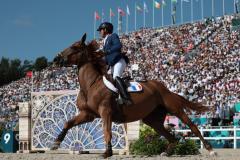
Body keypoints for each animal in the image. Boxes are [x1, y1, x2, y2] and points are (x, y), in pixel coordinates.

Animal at [51, 33, 217, 158]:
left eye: (75, 47)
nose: (56, 59)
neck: (90, 85)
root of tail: (165, 88)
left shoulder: (105, 112)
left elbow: (107, 131)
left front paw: (107, 152)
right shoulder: (87, 114)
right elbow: (68, 123)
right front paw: (56, 143)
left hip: (175, 109)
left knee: (193, 127)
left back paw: (210, 150)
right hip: (152, 120)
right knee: (171, 137)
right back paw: (166, 153)